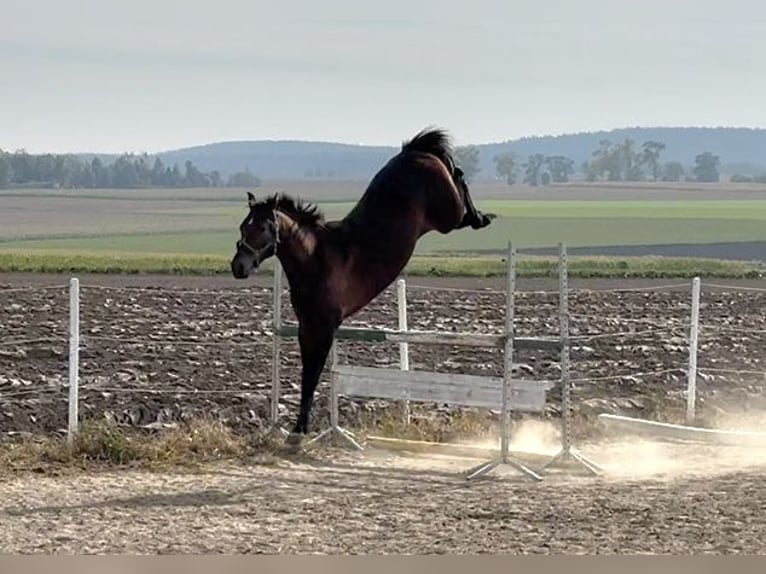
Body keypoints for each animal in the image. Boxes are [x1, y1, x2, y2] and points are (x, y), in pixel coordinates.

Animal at [230, 127, 496, 446]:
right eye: (243, 227)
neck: (315, 258)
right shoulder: (307, 326)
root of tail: (416, 151)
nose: (238, 267)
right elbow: (308, 375)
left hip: (447, 214)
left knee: (459, 182)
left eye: (260, 228)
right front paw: (298, 430)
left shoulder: (323, 327)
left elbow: (312, 376)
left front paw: (299, 431)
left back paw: (482, 217)